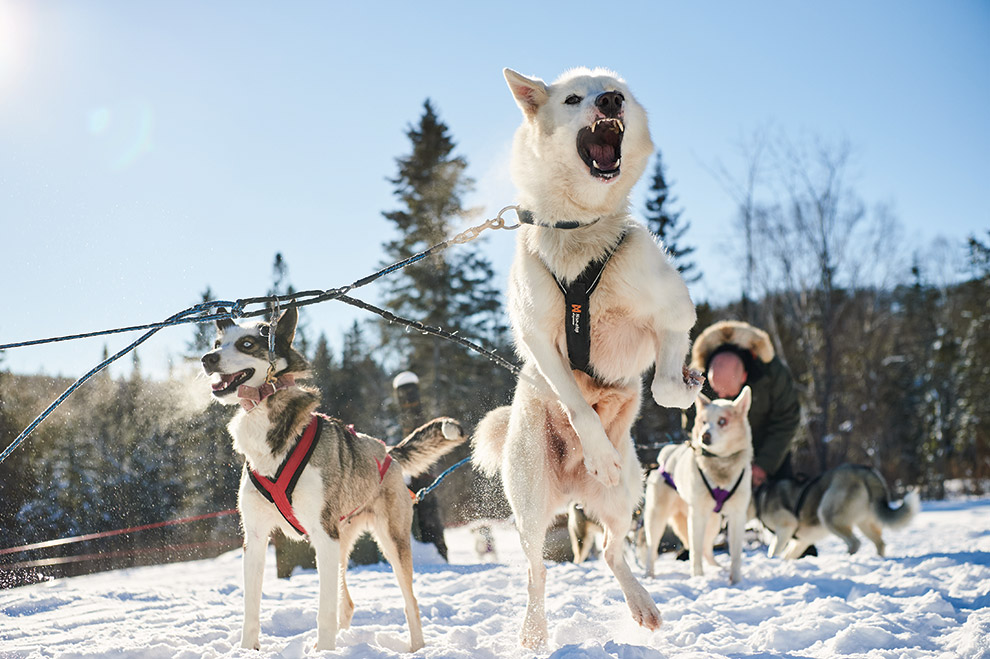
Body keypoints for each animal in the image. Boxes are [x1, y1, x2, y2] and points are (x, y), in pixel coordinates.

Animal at [203, 308, 466, 648]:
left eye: (246, 344)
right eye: (217, 343)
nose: (207, 359)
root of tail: (387, 452)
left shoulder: (322, 533)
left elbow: (324, 610)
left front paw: (325, 651)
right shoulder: (257, 538)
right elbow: (251, 609)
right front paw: (248, 650)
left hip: (388, 542)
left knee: (410, 603)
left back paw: (416, 647)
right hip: (339, 543)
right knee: (348, 603)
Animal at [474, 68, 700, 648]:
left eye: (618, 89)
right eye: (575, 98)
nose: (610, 101)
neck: (581, 233)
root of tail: (573, 490)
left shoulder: (672, 314)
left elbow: (663, 384)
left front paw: (686, 383)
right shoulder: (539, 338)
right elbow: (577, 403)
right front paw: (597, 449)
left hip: (627, 496)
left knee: (611, 552)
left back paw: (642, 604)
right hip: (532, 500)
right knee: (537, 569)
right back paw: (534, 631)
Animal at [752, 464, 924, 556]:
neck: (759, 496)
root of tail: (865, 471)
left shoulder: (786, 528)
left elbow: (774, 551)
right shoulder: (801, 540)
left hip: (828, 515)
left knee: (855, 542)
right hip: (865, 523)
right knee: (880, 543)